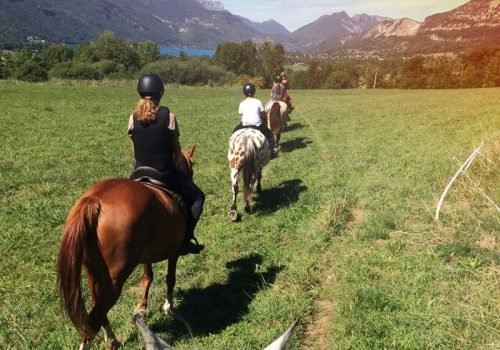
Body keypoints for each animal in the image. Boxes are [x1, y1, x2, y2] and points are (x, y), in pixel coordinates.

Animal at [55, 146, 195, 350]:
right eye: (192, 167)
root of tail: (93, 200)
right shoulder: (174, 251)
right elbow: (170, 279)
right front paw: (168, 307)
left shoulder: (146, 255)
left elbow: (147, 277)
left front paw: (142, 308)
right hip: (115, 278)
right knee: (95, 316)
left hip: (92, 271)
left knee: (98, 308)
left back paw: (111, 338)